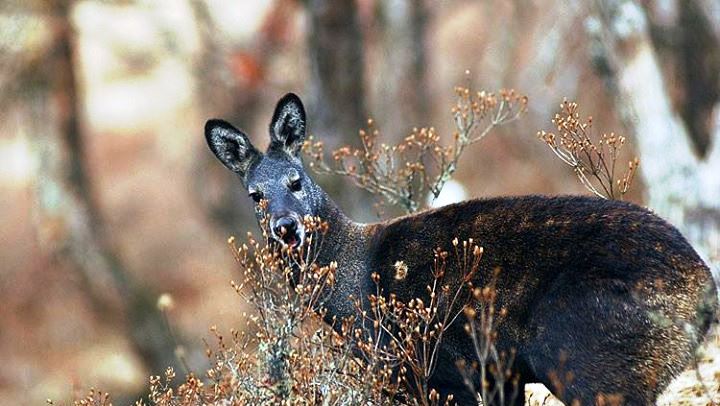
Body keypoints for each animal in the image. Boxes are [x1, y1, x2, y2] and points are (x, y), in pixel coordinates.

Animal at [205, 93, 716, 404]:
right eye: (255, 194)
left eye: (296, 180)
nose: (286, 227)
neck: (352, 288)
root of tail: (702, 291)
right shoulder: (495, 377)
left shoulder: (421, 370)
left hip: (581, 352)